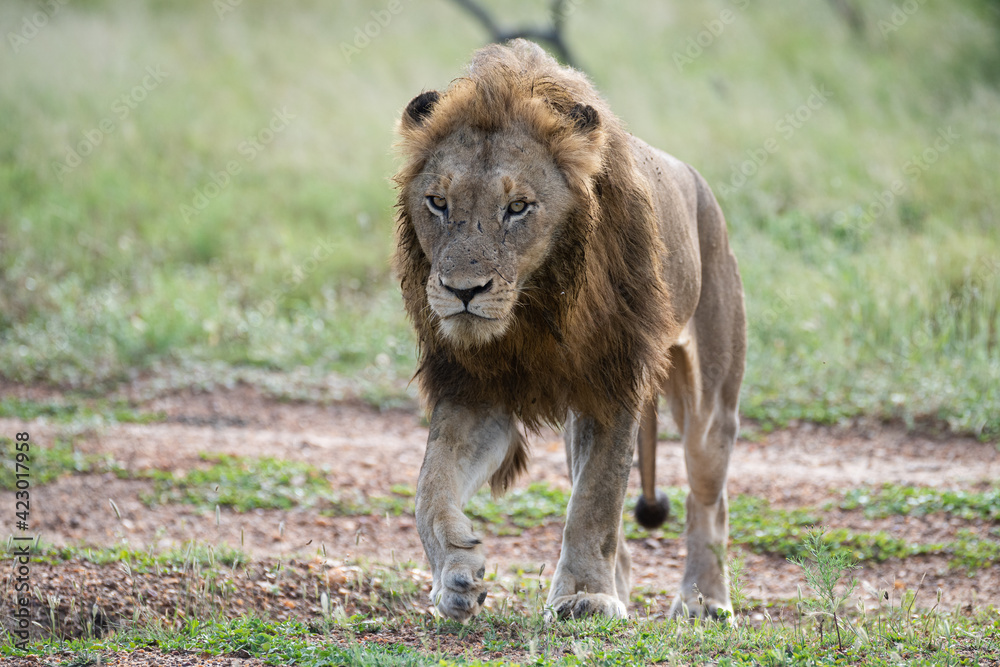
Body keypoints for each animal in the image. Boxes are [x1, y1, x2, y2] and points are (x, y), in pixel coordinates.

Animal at [394, 39, 748, 624]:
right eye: (438, 203)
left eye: (517, 207)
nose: (463, 290)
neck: (531, 310)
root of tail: (701, 187)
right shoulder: (475, 390)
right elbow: (430, 487)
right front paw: (455, 575)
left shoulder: (612, 382)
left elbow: (595, 502)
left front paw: (584, 595)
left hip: (711, 401)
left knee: (708, 502)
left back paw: (703, 601)